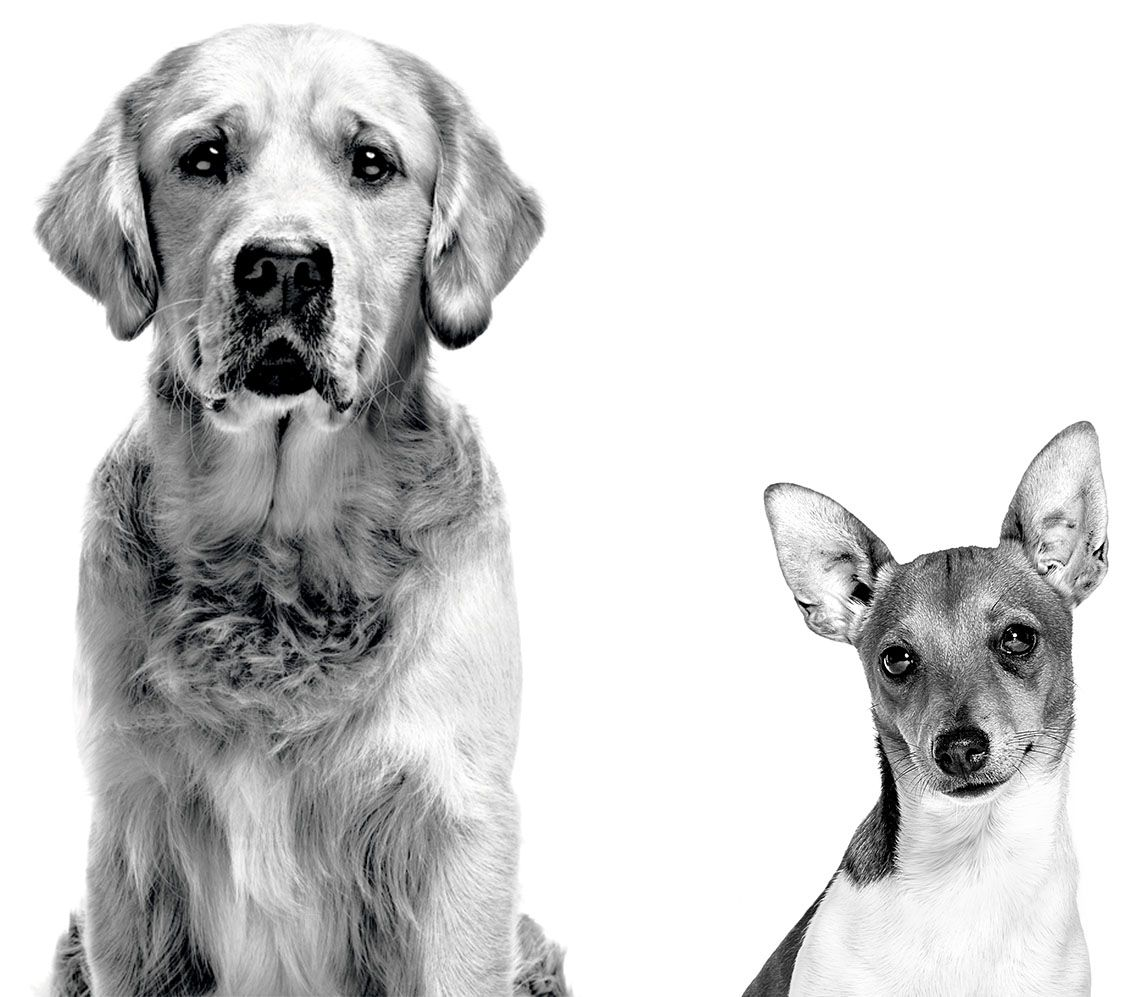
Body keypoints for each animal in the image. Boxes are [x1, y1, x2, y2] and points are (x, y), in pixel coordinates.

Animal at [35, 23, 565, 994]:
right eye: (205, 157)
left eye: (371, 162)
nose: (281, 265)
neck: (276, 552)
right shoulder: (131, 822)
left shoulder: (456, 818)